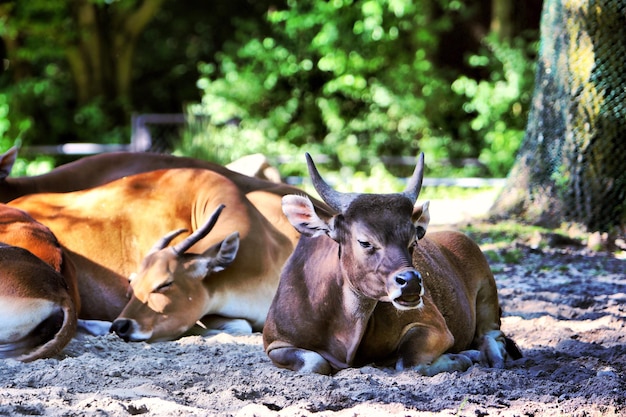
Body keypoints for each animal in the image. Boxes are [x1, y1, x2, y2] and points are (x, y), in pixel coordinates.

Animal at [260, 152, 520, 374]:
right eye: (365, 241)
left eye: (414, 240)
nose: (411, 283)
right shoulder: (275, 343)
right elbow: (315, 363)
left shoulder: (435, 327)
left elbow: (409, 362)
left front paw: (462, 357)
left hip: (488, 294)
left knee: (491, 335)